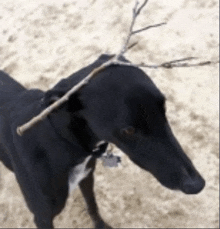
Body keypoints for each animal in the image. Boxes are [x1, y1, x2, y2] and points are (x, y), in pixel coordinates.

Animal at [0, 54, 205, 228]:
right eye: (128, 130)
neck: (60, 139)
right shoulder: (42, 216)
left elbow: (92, 204)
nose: (197, 184)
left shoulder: (86, 176)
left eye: (164, 109)